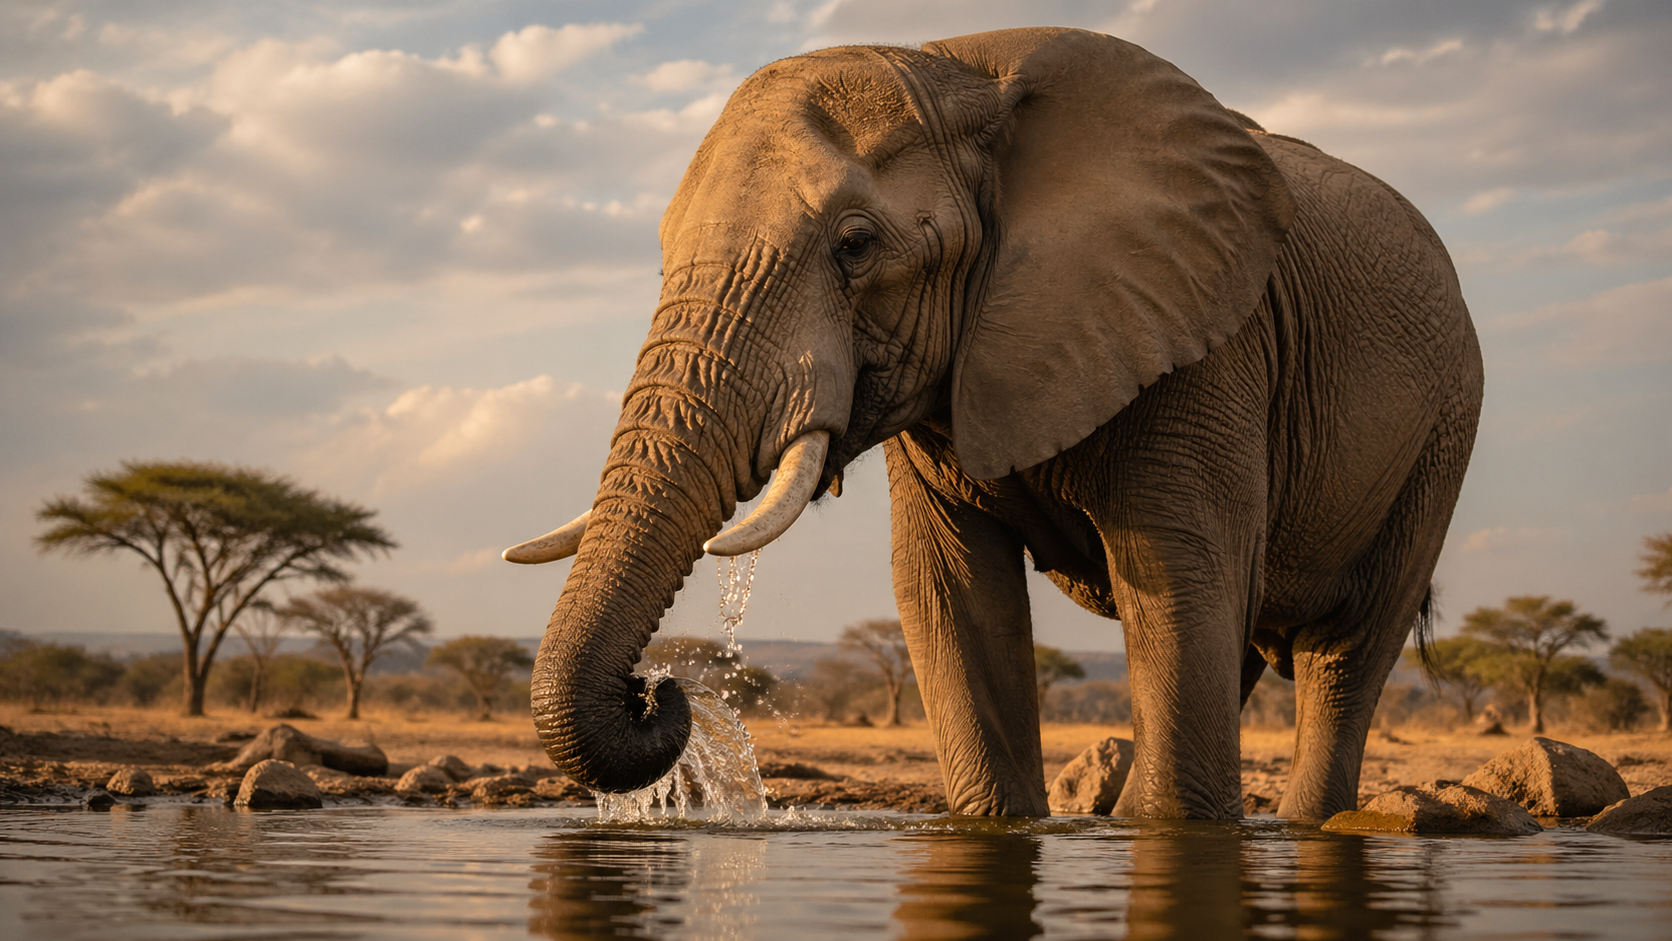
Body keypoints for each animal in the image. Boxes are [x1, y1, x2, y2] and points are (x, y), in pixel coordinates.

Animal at [504, 26, 1483, 820]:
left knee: (1343, 652)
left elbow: (1182, 580)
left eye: (855, 246)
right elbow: (948, 592)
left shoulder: (1210, 344)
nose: (657, 685)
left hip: (1442, 434)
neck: (962, 70)